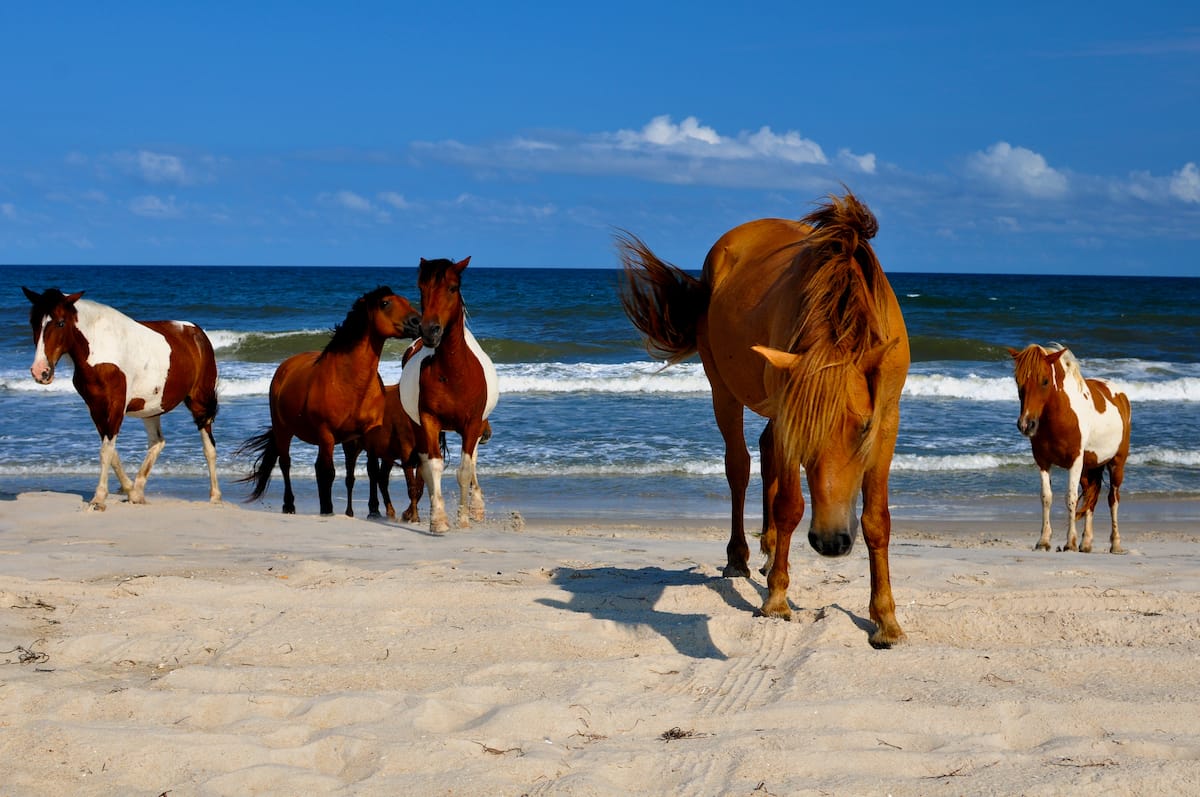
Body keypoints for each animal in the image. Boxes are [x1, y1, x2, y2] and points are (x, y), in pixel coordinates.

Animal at [20, 286, 223, 511]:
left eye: (61, 322)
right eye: (33, 322)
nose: (40, 372)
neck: (100, 350)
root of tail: (197, 332)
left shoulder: (116, 406)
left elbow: (106, 451)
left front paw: (99, 499)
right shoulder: (96, 408)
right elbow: (111, 452)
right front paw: (130, 492)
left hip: (199, 402)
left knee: (209, 447)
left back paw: (215, 496)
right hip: (150, 407)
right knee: (157, 442)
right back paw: (139, 491)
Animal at [236, 286, 420, 516]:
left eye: (406, 300)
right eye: (385, 303)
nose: (417, 322)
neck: (349, 380)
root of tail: (285, 367)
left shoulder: (368, 432)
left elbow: (371, 470)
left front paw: (374, 510)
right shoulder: (326, 433)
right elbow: (329, 472)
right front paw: (328, 509)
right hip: (283, 429)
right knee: (286, 463)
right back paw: (290, 505)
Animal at [400, 258, 499, 532]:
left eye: (453, 288)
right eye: (422, 288)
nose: (429, 331)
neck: (454, 373)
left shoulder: (473, 423)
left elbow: (465, 469)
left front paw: (464, 518)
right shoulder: (429, 420)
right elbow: (432, 467)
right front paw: (438, 520)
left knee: (472, 461)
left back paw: (476, 507)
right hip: (418, 427)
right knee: (425, 465)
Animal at [619, 192, 907, 648]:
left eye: (863, 428)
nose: (830, 541)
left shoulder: (887, 420)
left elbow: (877, 520)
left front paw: (885, 621)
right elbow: (789, 505)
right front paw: (776, 600)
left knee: (767, 450)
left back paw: (771, 550)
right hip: (723, 390)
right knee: (739, 466)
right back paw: (740, 557)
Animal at [1008, 343, 1128, 554]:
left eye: (1045, 381)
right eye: (1018, 380)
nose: (1026, 424)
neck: (1060, 416)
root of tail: (1121, 395)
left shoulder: (1075, 461)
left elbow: (1070, 498)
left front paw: (1070, 542)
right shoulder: (1043, 461)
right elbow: (1046, 497)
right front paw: (1044, 540)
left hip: (1116, 464)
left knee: (1113, 499)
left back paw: (1115, 544)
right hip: (1089, 469)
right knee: (1091, 498)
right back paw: (1086, 543)